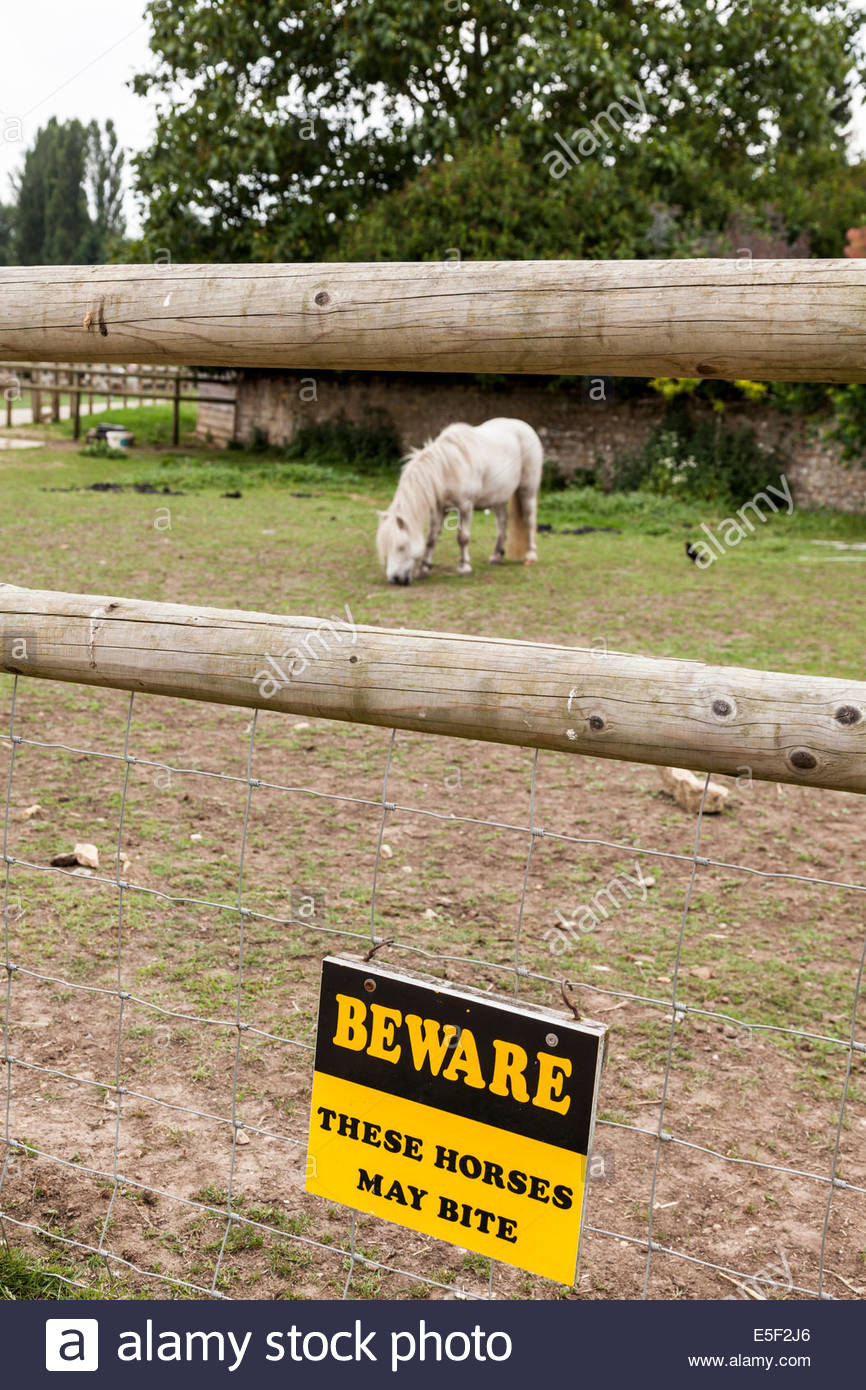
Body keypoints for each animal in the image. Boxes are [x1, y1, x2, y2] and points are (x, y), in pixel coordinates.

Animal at [376, 418, 543, 585]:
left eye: (401, 547)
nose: (394, 579)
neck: (447, 468)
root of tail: (524, 427)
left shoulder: (465, 507)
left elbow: (463, 538)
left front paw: (464, 567)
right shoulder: (439, 508)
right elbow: (431, 538)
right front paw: (424, 569)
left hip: (527, 491)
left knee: (529, 520)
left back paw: (531, 556)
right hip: (498, 498)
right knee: (502, 523)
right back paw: (496, 556)